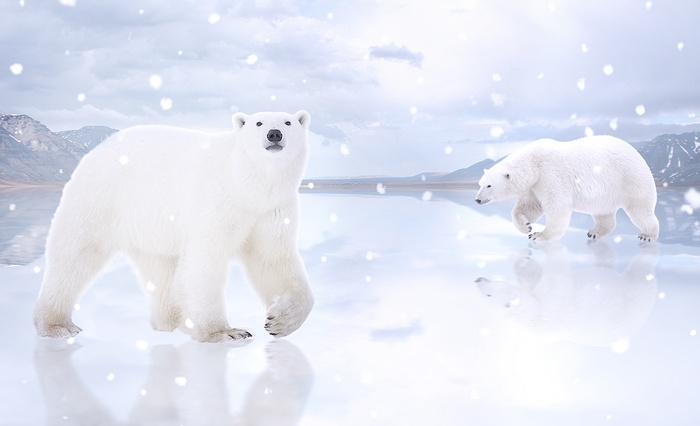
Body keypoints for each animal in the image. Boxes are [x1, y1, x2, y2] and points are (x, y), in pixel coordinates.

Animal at [33, 110, 314, 343]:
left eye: (288, 122)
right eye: (258, 123)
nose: (274, 134)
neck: (247, 184)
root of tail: (96, 150)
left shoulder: (271, 209)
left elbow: (271, 260)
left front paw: (279, 321)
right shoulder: (218, 200)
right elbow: (205, 260)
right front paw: (224, 332)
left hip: (150, 227)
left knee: (161, 271)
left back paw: (171, 321)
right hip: (102, 198)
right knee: (75, 255)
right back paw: (57, 325)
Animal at [474, 135, 659, 242]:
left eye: (489, 185)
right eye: (480, 183)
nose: (477, 199)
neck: (534, 162)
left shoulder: (551, 175)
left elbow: (557, 206)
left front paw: (539, 235)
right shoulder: (535, 185)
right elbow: (529, 206)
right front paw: (526, 225)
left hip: (630, 179)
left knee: (640, 209)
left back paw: (647, 235)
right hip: (607, 193)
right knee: (603, 213)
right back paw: (595, 232)